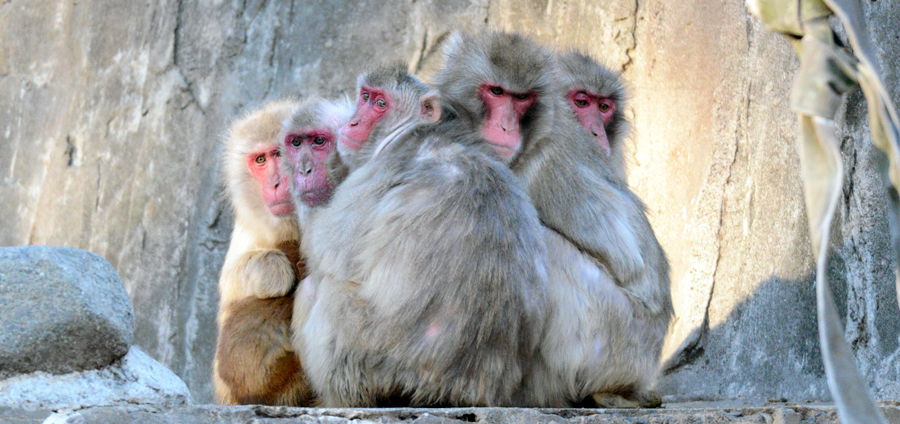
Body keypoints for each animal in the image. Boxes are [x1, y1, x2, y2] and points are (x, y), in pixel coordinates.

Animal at [296, 63, 548, 408]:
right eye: (365, 96)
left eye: (380, 104)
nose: (353, 122)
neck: (417, 131)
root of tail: (455, 389)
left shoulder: (379, 172)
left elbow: (329, 250)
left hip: (368, 357)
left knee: (323, 293)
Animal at [432, 31, 672, 410]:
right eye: (496, 92)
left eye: (521, 98)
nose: (505, 127)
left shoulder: (542, 170)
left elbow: (624, 258)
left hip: (614, 343)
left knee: (543, 246)